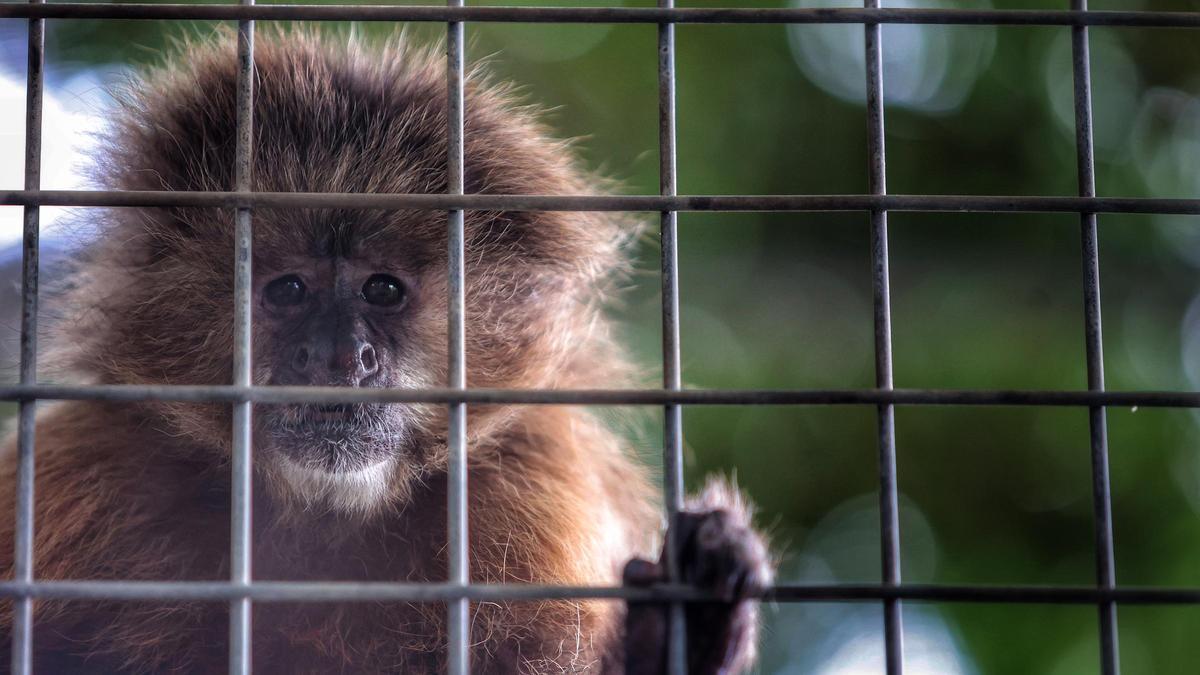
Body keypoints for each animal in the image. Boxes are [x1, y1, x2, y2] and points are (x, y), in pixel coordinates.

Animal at [0, 28, 768, 667]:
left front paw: (684, 627)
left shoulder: (531, 488)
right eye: (288, 289)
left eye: (383, 290)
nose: (342, 358)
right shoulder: (91, 465)